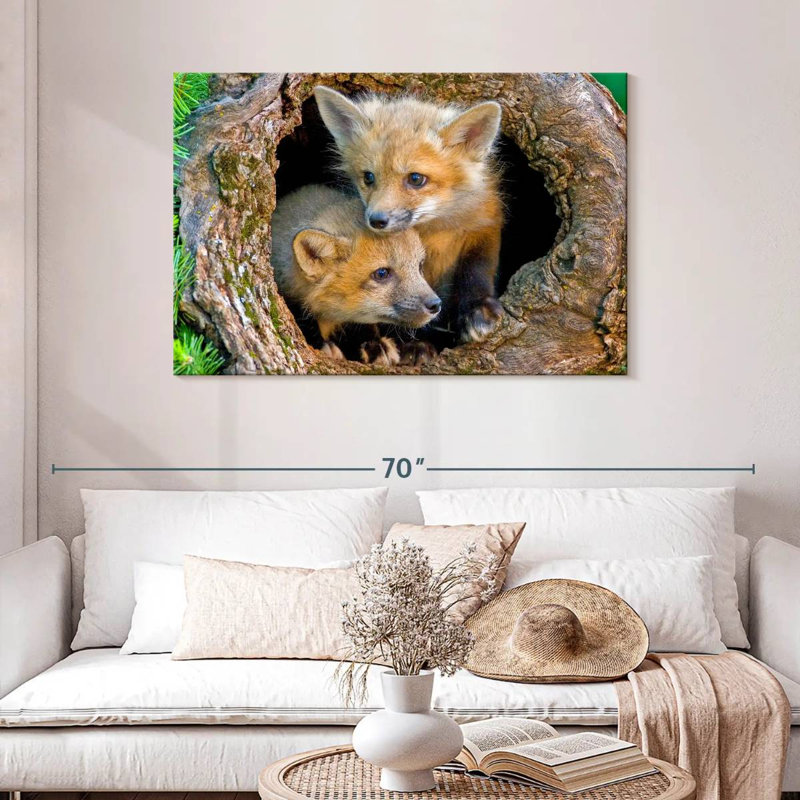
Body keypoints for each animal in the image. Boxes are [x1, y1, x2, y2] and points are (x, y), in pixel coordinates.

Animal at [314, 86, 505, 345]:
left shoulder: (483, 224)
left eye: (415, 179)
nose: (376, 220)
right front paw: (415, 346)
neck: (434, 232)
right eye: (368, 177)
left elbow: (477, 270)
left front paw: (477, 309)